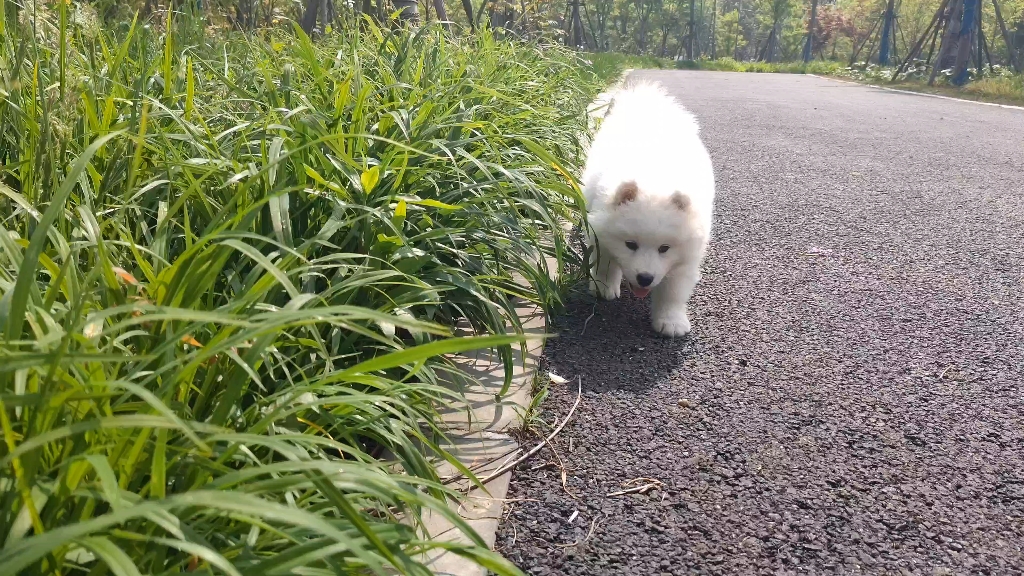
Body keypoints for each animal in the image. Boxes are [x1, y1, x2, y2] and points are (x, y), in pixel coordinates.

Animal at [581, 78, 716, 334]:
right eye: (630, 244)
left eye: (665, 248)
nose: (644, 278)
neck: (655, 176)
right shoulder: (601, 232)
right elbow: (606, 262)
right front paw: (604, 287)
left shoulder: (686, 255)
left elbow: (673, 292)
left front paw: (671, 321)